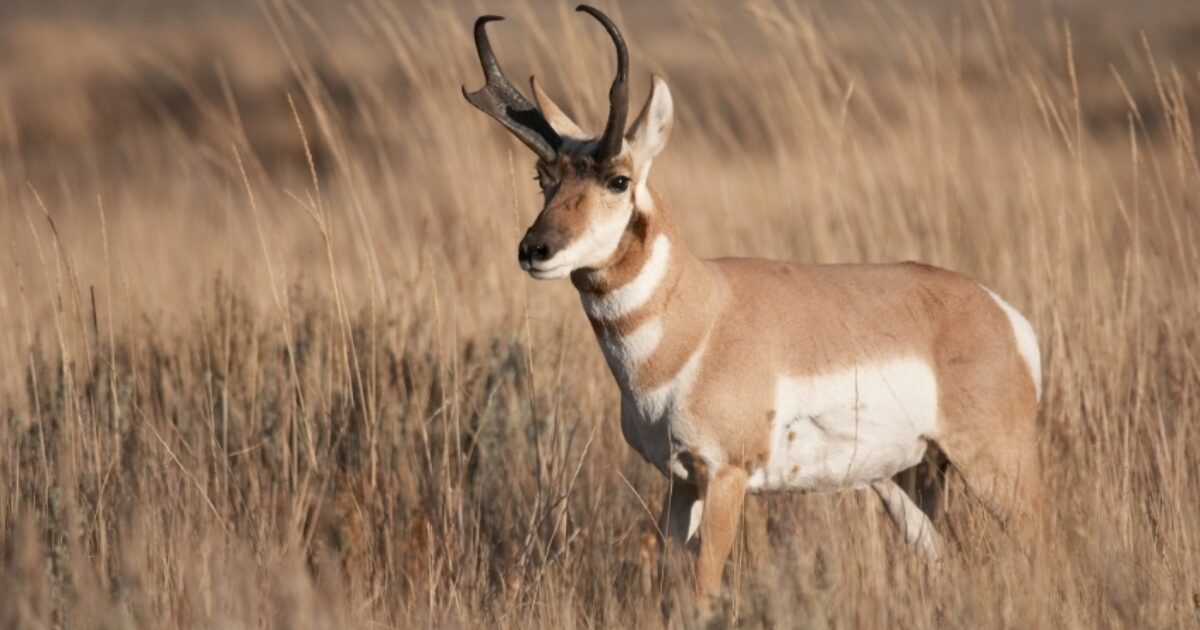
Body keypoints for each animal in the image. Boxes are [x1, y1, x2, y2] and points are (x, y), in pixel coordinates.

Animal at [463, 2, 1046, 604]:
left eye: (618, 180)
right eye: (544, 178)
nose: (535, 250)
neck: (699, 316)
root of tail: (1000, 312)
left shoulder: (726, 475)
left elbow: (703, 586)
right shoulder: (679, 481)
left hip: (998, 465)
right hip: (904, 478)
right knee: (937, 554)